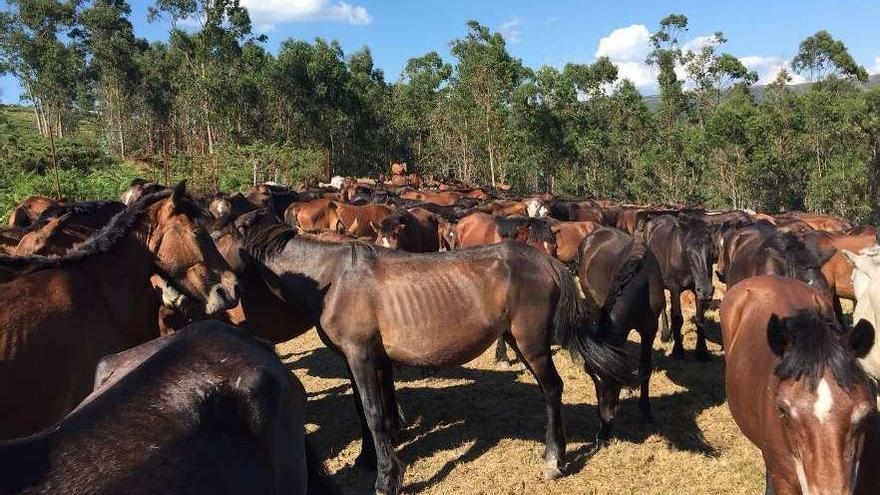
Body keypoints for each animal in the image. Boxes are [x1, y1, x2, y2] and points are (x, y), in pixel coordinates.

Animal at [576, 227, 668, 444]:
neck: (642, 282)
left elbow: (645, 368)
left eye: (614, 377)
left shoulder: (650, 328)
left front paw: (646, 414)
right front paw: (604, 432)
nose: (606, 417)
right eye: (590, 375)